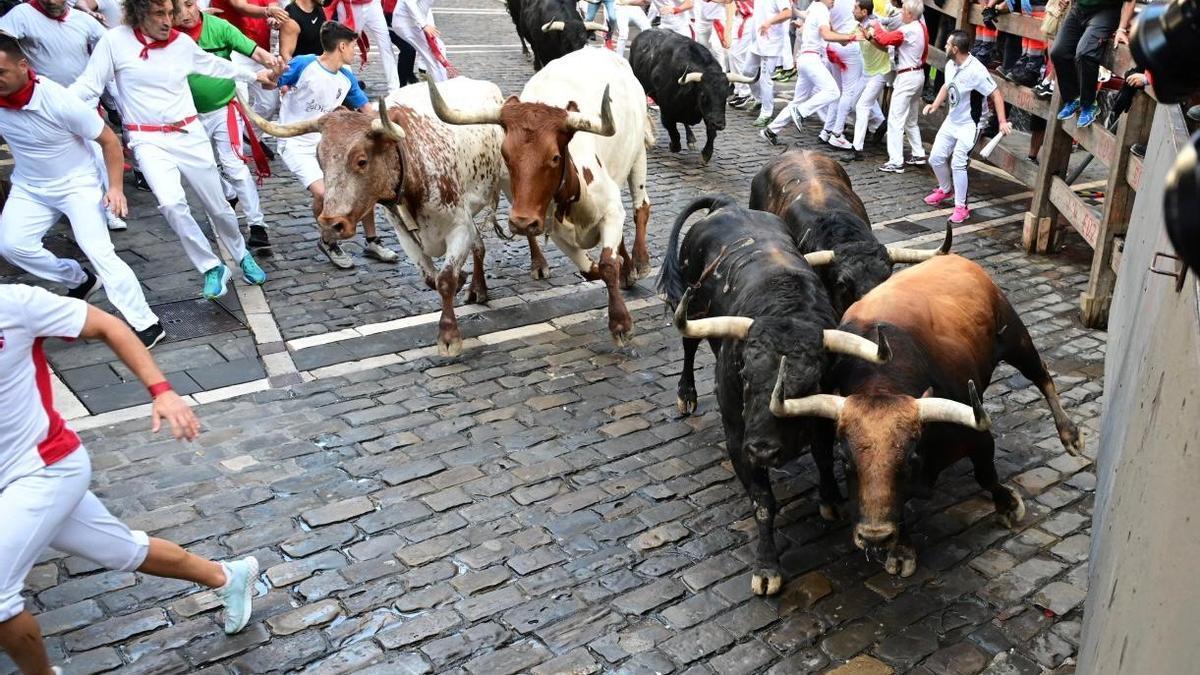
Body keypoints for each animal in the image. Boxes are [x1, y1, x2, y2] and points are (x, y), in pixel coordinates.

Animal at [657, 194, 883, 593]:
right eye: (745, 375)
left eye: (809, 384)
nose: (763, 449)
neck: (785, 308)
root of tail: (726, 206)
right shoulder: (737, 436)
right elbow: (763, 501)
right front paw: (766, 567)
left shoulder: (825, 418)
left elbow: (824, 457)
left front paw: (830, 499)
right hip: (693, 307)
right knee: (688, 346)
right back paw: (686, 394)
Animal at [772, 254, 1084, 576]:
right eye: (845, 460)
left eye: (909, 458)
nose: (874, 536)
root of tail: (952, 258)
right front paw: (901, 549)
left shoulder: (978, 436)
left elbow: (986, 475)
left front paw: (1007, 504)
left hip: (1015, 337)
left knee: (1042, 375)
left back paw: (1069, 434)